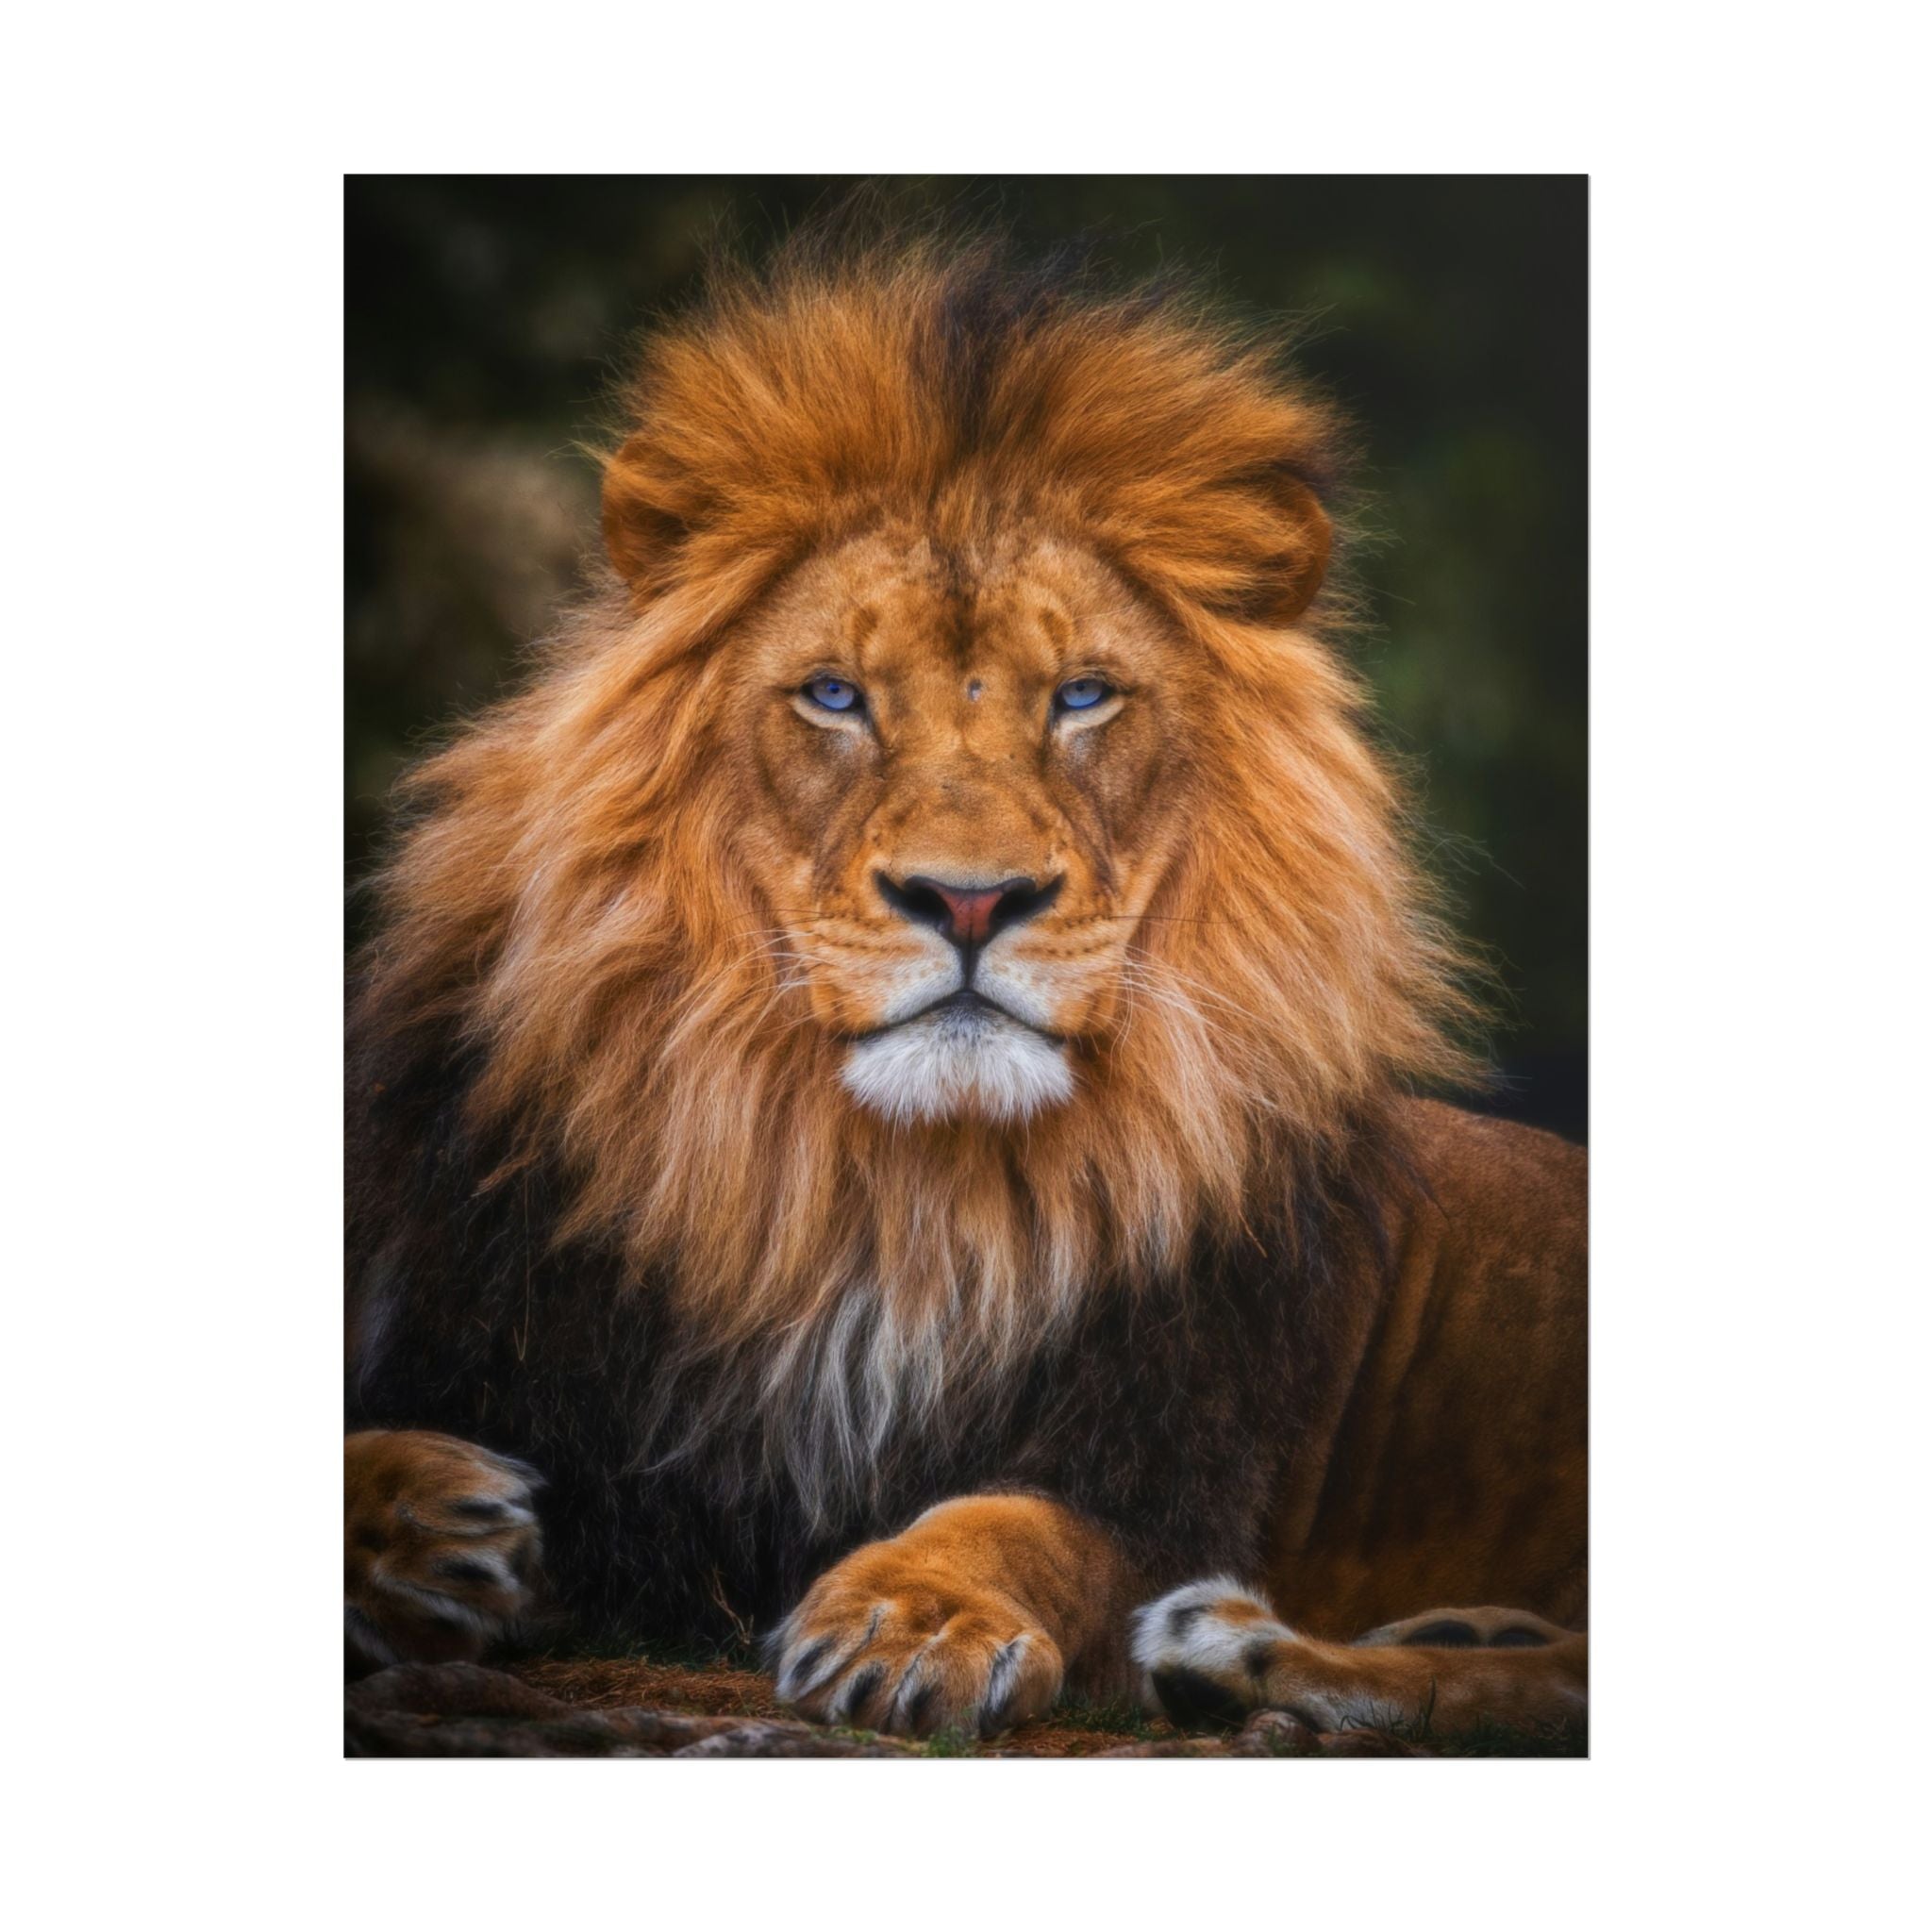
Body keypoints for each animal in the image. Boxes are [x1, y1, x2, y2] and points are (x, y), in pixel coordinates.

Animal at [345, 231, 1587, 1746]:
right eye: (833, 695)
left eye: (1083, 696)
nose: (972, 900)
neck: (883, 1196)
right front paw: (426, 1521)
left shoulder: (1165, 1467)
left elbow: (1017, 1523)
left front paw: (911, 1616)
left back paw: (1242, 1649)